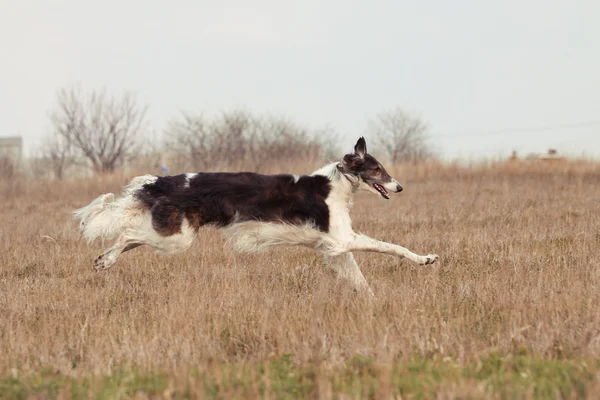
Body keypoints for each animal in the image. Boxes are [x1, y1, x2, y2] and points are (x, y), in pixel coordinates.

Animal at [76, 138, 440, 294]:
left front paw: (372, 303)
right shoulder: (343, 239)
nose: (399, 186)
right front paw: (426, 258)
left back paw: (103, 262)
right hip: (177, 239)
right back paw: (105, 261)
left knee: (128, 238)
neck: (338, 184)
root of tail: (162, 181)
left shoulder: (333, 248)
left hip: (172, 235)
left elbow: (360, 281)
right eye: (377, 169)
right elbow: (392, 247)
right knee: (126, 235)